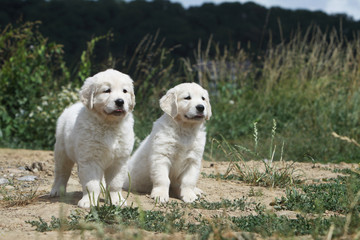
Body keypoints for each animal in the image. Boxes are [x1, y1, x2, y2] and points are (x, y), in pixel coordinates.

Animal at [50, 68, 136, 207]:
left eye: (125, 91)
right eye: (107, 90)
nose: (120, 101)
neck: (109, 125)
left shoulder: (119, 161)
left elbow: (115, 184)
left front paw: (117, 200)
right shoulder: (90, 159)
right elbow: (91, 184)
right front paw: (89, 201)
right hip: (62, 153)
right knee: (62, 173)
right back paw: (57, 190)